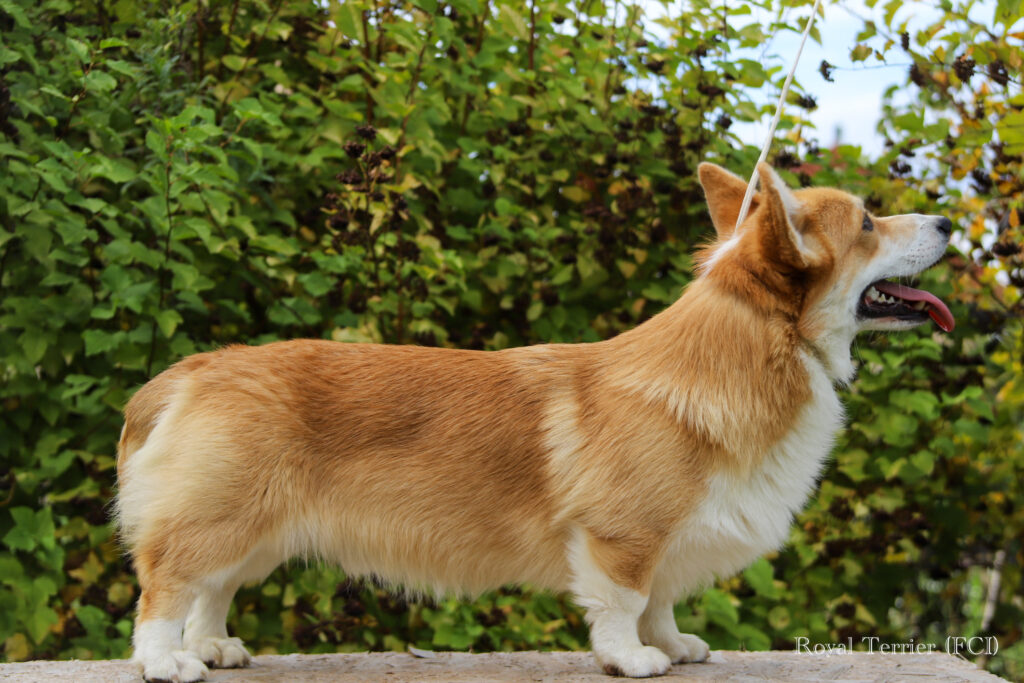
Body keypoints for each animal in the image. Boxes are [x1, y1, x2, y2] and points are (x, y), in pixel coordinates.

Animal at [114, 162, 950, 679]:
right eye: (869, 223)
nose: (945, 219)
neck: (742, 356)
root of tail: (190, 370)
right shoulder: (623, 535)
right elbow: (625, 601)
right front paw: (631, 659)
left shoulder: (671, 536)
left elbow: (663, 600)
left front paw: (675, 644)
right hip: (217, 517)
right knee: (166, 587)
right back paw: (166, 661)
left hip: (254, 530)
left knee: (212, 591)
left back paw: (214, 648)